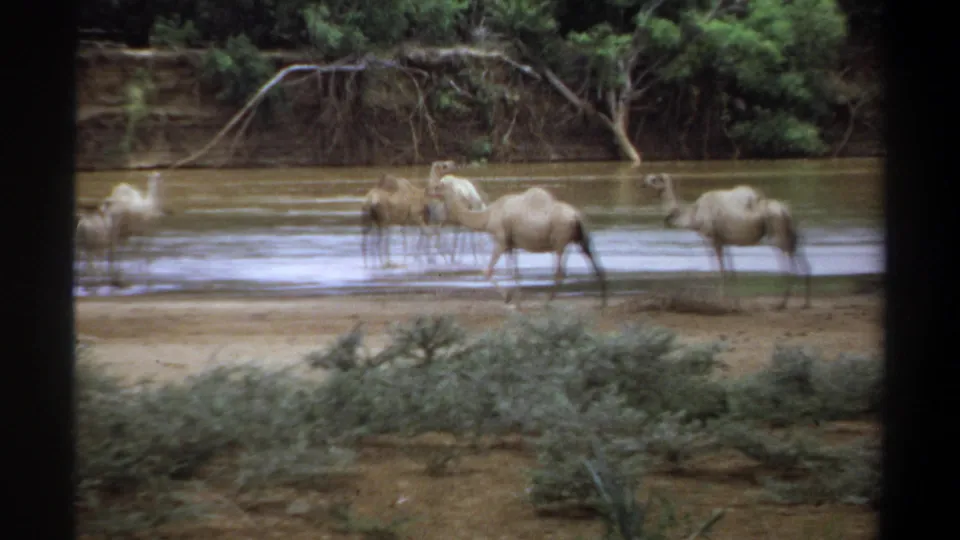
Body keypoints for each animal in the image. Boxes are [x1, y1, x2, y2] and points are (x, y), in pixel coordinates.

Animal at [438, 182, 607, 310]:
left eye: (440, 186)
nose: (431, 189)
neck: (487, 217)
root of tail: (576, 215)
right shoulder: (511, 245)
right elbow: (515, 272)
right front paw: (516, 301)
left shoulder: (501, 240)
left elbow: (488, 270)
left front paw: (508, 298)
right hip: (578, 239)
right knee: (595, 264)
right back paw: (601, 302)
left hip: (560, 239)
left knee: (560, 271)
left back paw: (546, 302)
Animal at [643, 173, 811, 310]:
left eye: (655, 178)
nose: (644, 181)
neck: (692, 215)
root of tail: (785, 210)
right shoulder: (723, 240)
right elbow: (731, 270)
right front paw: (735, 303)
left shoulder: (711, 238)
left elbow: (720, 270)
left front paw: (720, 301)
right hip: (787, 230)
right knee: (796, 251)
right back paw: (804, 301)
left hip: (776, 230)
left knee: (787, 255)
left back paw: (782, 302)